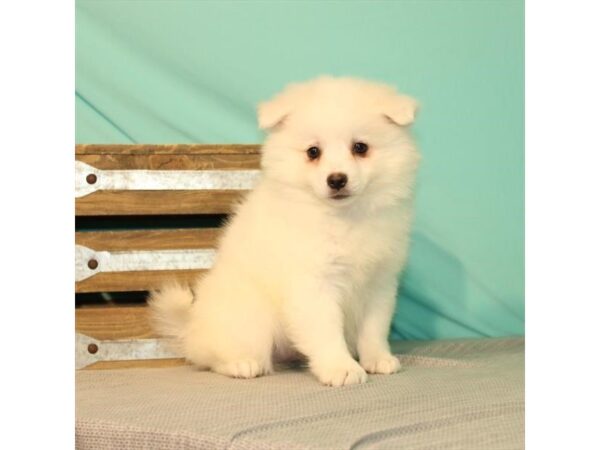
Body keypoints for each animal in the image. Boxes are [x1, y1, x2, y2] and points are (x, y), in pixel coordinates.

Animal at [150, 77, 422, 386]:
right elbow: (327, 330)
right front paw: (341, 368)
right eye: (313, 152)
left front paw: (377, 359)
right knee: (213, 356)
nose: (337, 179)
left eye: (360, 147)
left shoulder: (379, 283)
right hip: (248, 316)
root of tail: (191, 329)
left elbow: (374, 328)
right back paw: (241, 364)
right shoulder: (313, 283)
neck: (344, 217)